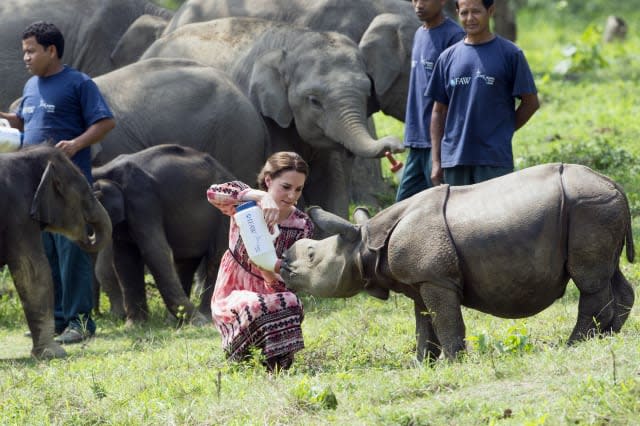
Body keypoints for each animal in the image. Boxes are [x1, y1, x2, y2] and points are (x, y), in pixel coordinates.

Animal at [92, 144, 235, 326]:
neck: (102, 170)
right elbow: (124, 259)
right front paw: (135, 325)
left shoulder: (142, 199)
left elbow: (156, 252)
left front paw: (198, 322)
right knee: (186, 262)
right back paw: (173, 321)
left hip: (224, 212)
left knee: (216, 257)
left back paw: (206, 317)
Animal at [282, 163, 636, 362]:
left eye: (311, 255)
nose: (283, 263)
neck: (366, 242)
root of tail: (615, 185)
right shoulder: (420, 280)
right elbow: (424, 324)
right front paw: (421, 365)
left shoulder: (436, 278)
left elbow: (446, 320)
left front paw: (453, 362)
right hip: (598, 209)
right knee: (608, 273)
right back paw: (609, 335)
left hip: (589, 208)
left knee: (589, 280)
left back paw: (574, 344)